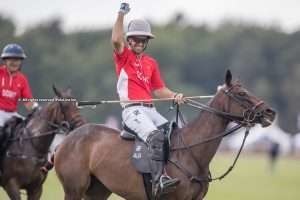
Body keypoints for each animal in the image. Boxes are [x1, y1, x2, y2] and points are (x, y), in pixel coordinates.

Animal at [54, 70, 276, 200]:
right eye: (241, 94)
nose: (270, 112)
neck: (192, 152)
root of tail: (65, 141)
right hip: (73, 189)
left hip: (98, 190)